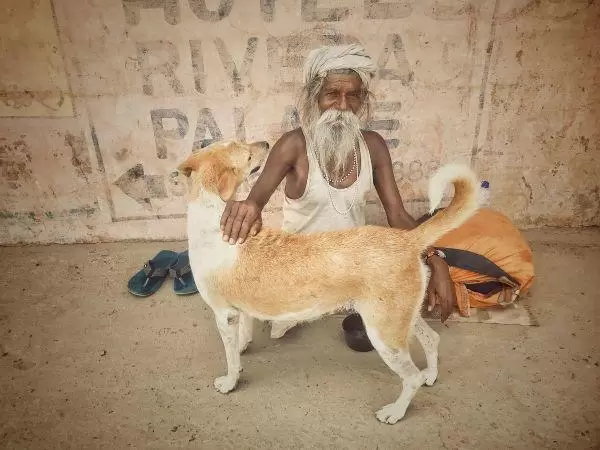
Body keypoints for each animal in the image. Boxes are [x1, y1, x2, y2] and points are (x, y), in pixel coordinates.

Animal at [176, 139, 480, 424]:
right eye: (246, 152)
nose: (265, 143)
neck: (213, 216)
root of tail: (407, 238)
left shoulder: (223, 314)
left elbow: (229, 357)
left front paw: (230, 382)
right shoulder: (239, 310)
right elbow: (242, 337)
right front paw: (241, 351)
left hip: (383, 334)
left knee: (411, 377)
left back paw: (395, 411)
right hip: (403, 317)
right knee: (432, 340)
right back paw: (431, 375)